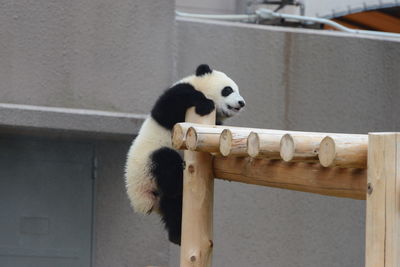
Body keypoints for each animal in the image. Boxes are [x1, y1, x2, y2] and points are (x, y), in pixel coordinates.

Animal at [126, 63, 244, 246]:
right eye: (228, 89)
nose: (241, 103)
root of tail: (141, 201)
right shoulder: (175, 97)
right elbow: (170, 106)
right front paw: (205, 104)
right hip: (146, 166)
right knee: (165, 162)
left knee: (174, 207)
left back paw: (176, 236)